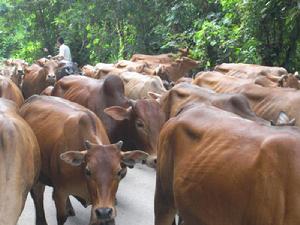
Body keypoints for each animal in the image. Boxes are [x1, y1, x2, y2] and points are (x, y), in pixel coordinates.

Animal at [19, 95, 149, 225]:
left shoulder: (98, 206)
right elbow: (61, 217)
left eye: (119, 172)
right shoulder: (60, 194)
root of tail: (32, 98)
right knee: (38, 194)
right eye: (88, 171)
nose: (104, 211)